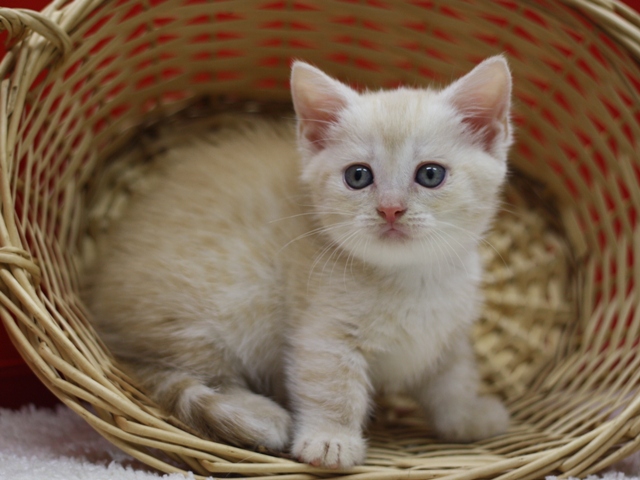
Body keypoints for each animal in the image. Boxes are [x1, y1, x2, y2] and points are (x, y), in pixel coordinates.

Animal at [86, 55, 516, 468]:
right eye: (358, 176)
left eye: (430, 174)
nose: (390, 209)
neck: (412, 276)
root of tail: (104, 312)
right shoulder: (324, 333)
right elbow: (331, 388)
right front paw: (330, 440)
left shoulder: (450, 335)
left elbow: (454, 380)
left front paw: (469, 417)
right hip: (226, 304)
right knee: (199, 374)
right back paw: (257, 411)